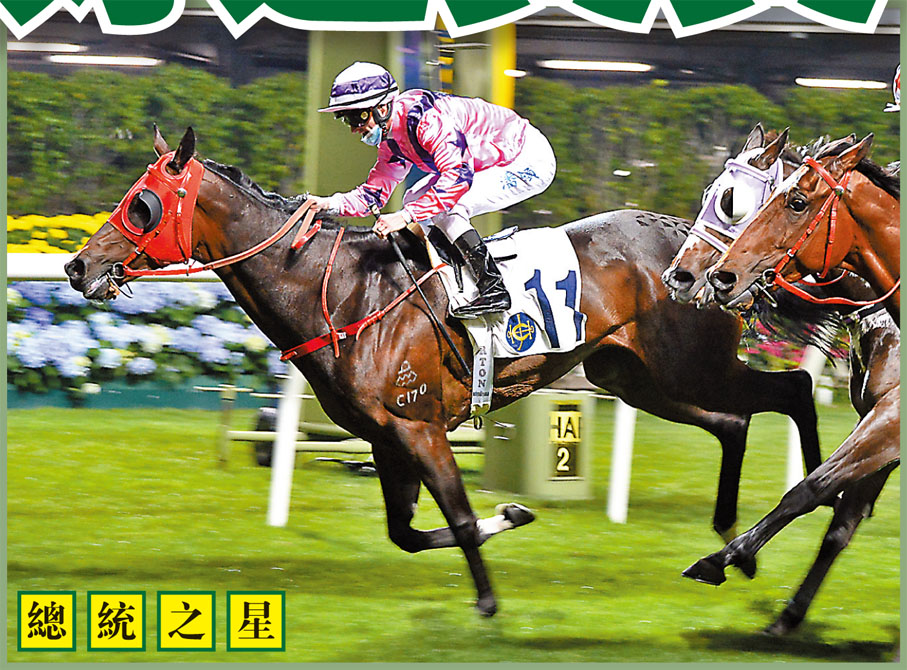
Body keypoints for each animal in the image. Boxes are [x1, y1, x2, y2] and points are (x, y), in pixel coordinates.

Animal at [64, 125, 825, 616]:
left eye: (141, 204)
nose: (77, 265)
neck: (341, 290)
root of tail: (707, 249)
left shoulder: (420, 426)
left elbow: (456, 518)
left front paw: (487, 600)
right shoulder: (384, 438)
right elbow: (405, 532)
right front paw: (512, 513)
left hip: (686, 366)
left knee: (792, 388)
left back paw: (810, 495)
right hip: (641, 379)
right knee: (733, 421)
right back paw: (736, 544)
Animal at [680, 133, 900, 635]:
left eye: (731, 203)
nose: (699, 276)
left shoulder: (891, 419)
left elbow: (811, 487)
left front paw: (724, 557)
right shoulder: (879, 422)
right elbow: (840, 524)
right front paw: (789, 614)